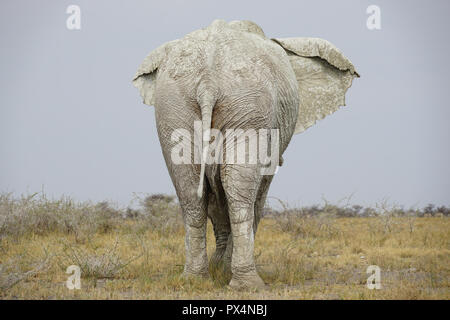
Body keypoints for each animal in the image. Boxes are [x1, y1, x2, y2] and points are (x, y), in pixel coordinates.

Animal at [132, 20, 356, 290]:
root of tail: (207, 81)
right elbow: (258, 188)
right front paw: (223, 267)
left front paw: (219, 266)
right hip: (248, 103)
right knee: (241, 194)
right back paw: (248, 284)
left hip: (176, 105)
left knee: (190, 190)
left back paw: (194, 280)